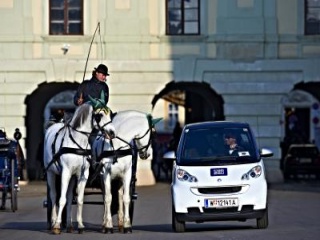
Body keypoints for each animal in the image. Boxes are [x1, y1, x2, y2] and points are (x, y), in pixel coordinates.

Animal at [43, 101, 115, 234]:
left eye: (110, 114)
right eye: (100, 115)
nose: (112, 133)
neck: (77, 142)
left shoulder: (82, 175)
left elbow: (79, 200)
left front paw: (80, 225)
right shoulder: (65, 173)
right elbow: (61, 199)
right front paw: (57, 225)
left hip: (72, 177)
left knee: (69, 197)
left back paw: (70, 225)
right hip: (51, 173)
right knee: (54, 196)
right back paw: (54, 222)